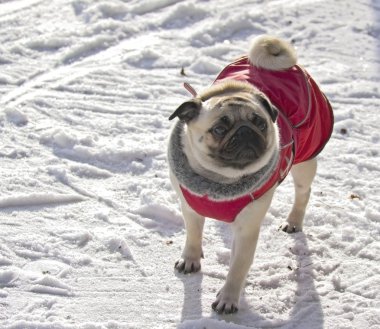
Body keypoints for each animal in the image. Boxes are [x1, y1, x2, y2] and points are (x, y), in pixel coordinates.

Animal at [168, 35, 332, 312]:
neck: (219, 180)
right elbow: (193, 235)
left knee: (303, 192)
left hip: (305, 158)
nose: (245, 131)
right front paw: (190, 258)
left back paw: (294, 220)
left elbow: (238, 266)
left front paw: (228, 298)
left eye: (260, 123)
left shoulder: (247, 228)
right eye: (219, 129)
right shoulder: (189, 207)